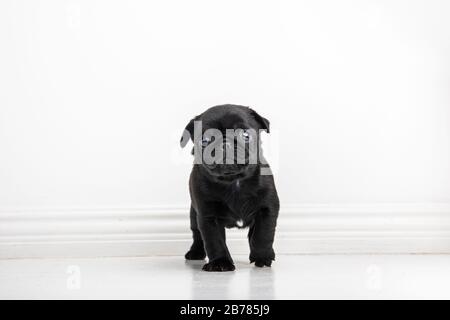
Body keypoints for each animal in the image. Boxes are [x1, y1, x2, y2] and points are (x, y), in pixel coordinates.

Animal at [180, 104, 280, 272]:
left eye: (245, 134)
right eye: (205, 140)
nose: (224, 144)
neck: (233, 181)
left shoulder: (266, 209)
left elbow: (263, 235)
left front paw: (262, 257)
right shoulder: (208, 216)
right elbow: (214, 241)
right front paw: (220, 262)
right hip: (194, 214)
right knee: (197, 234)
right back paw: (195, 252)